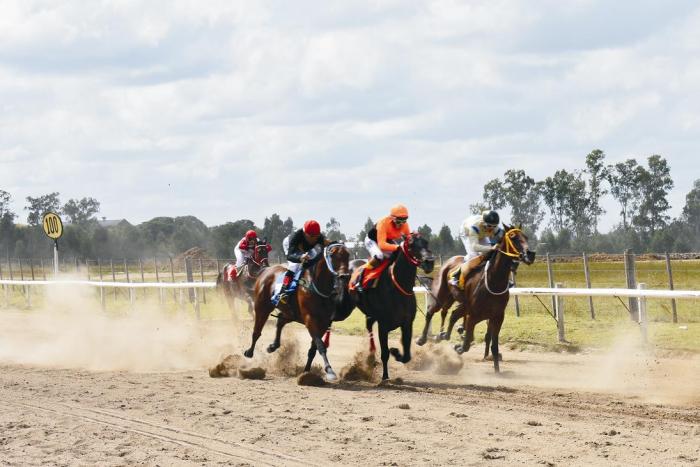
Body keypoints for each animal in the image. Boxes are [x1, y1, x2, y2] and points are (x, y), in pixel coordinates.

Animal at [243, 243, 350, 382]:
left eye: (348, 255)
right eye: (333, 255)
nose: (345, 276)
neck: (317, 286)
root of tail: (266, 270)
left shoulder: (324, 322)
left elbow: (313, 348)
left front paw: (306, 371)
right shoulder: (310, 319)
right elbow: (321, 345)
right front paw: (329, 370)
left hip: (291, 313)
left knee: (280, 321)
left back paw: (273, 346)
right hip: (262, 307)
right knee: (257, 331)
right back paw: (249, 352)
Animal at [412, 226, 532, 372]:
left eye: (526, 237)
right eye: (513, 237)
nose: (530, 254)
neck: (493, 281)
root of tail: (449, 261)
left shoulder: (497, 317)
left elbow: (493, 346)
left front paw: (497, 371)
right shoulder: (474, 315)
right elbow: (467, 343)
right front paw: (459, 346)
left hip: (458, 301)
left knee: (452, 314)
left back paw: (443, 335)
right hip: (441, 296)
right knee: (431, 312)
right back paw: (423, 339)